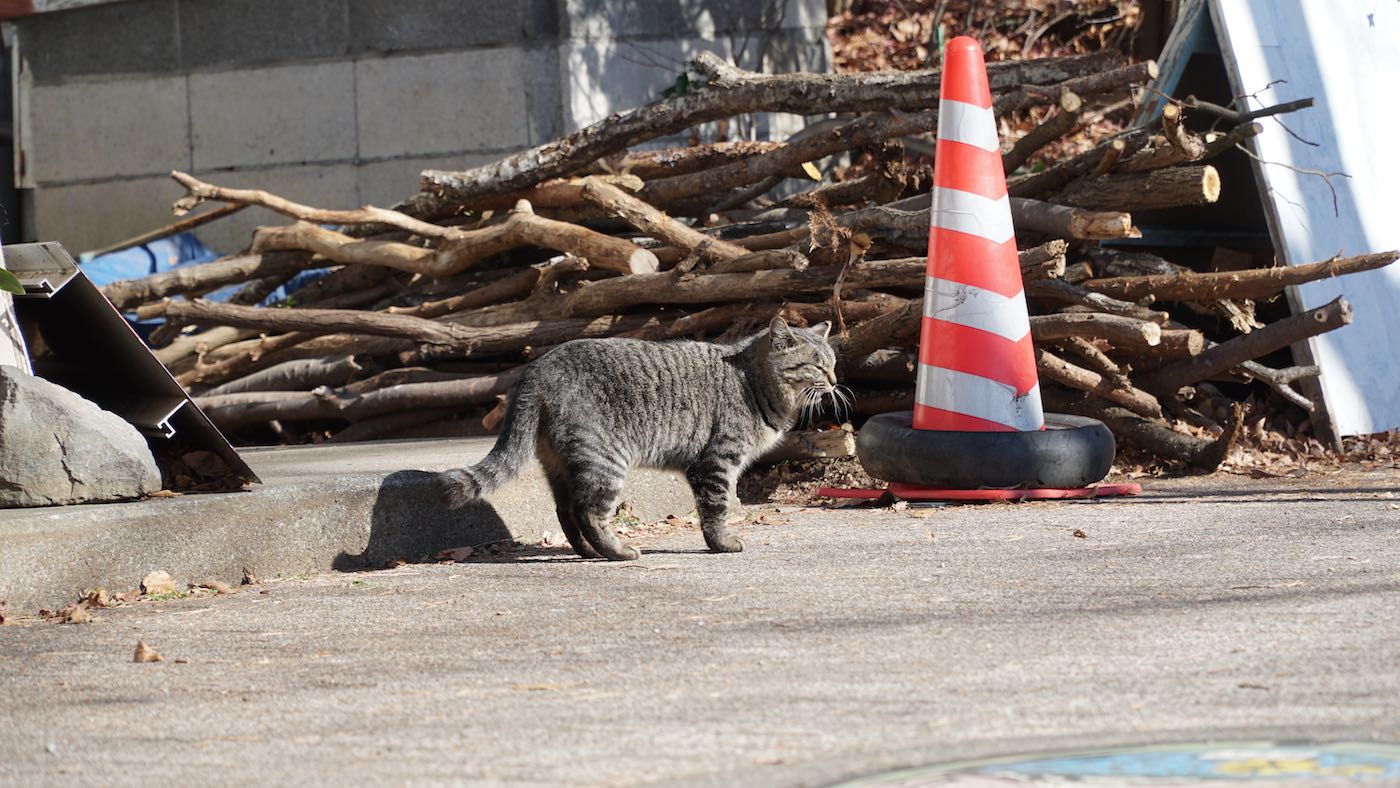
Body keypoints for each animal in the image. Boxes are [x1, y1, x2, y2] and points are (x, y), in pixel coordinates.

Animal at [436, 316, 834, 559]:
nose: (833, 381)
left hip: (560, 464)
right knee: (587, 512)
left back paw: (588, 552)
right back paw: (617, 552)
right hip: (605, 461)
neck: (751, 380)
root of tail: (536, 369)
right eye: (816, 365)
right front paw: (722, 543)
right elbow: (716, 509)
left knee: (565, 511)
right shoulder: (716, 463)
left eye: (831, 363)